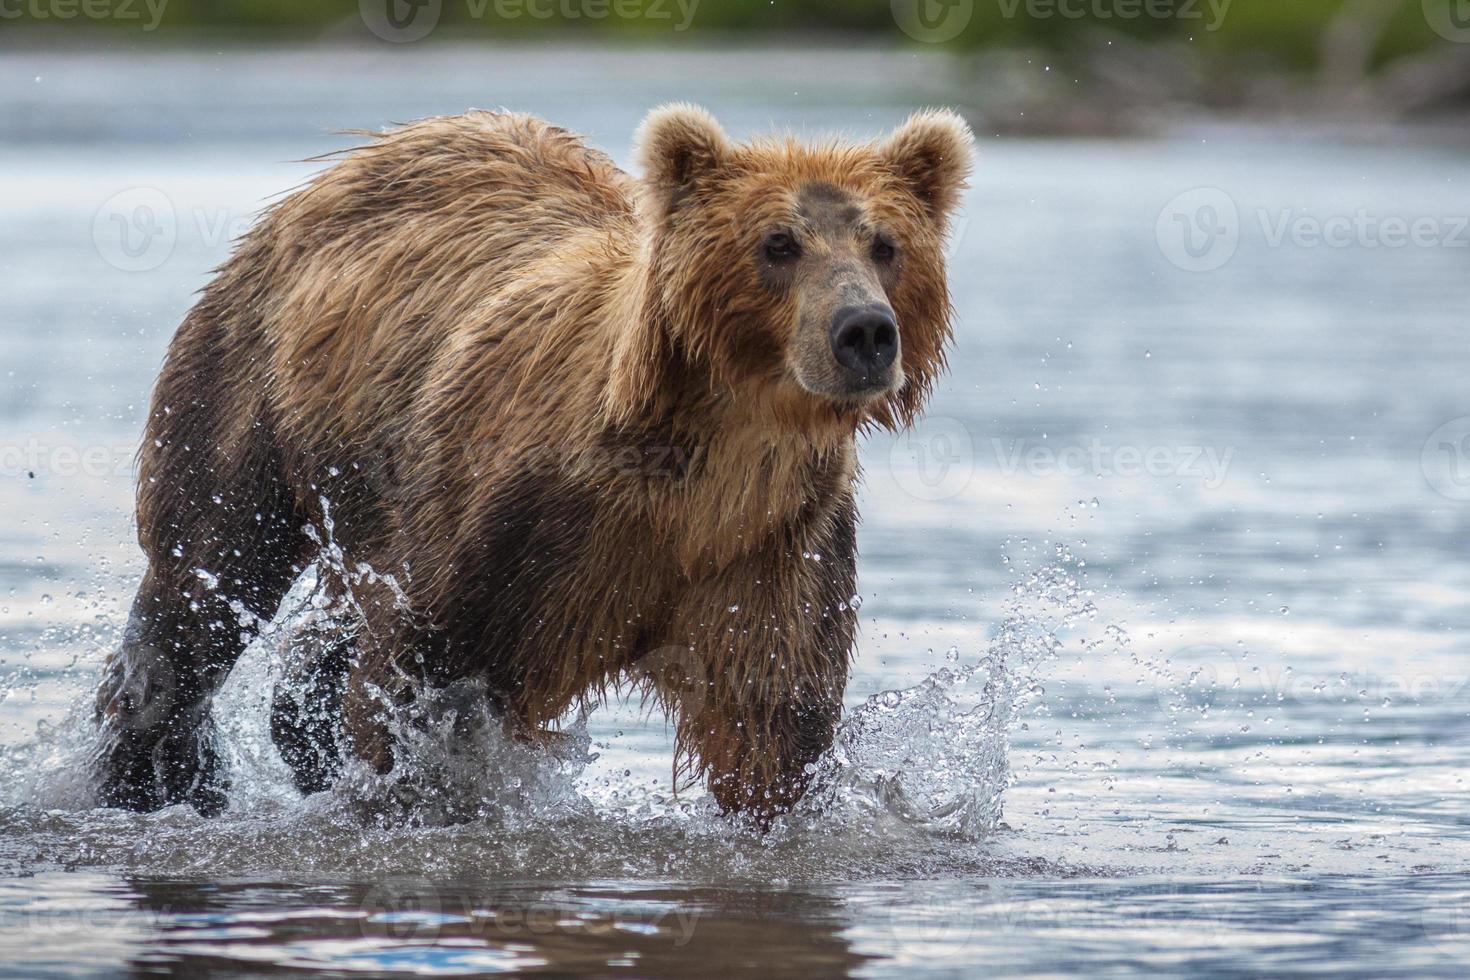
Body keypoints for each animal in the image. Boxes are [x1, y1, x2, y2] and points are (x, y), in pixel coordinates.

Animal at [88, 105, 964, 828]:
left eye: (886, 244)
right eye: (778, 243)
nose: (863, 332)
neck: (700, 469)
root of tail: (347, 164)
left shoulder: (768, 544)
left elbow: (770, 721)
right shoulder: (509, 525)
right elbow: (408, 685)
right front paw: (407, 797)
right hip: (259, 386)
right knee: (204, 583)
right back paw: (147, 777)